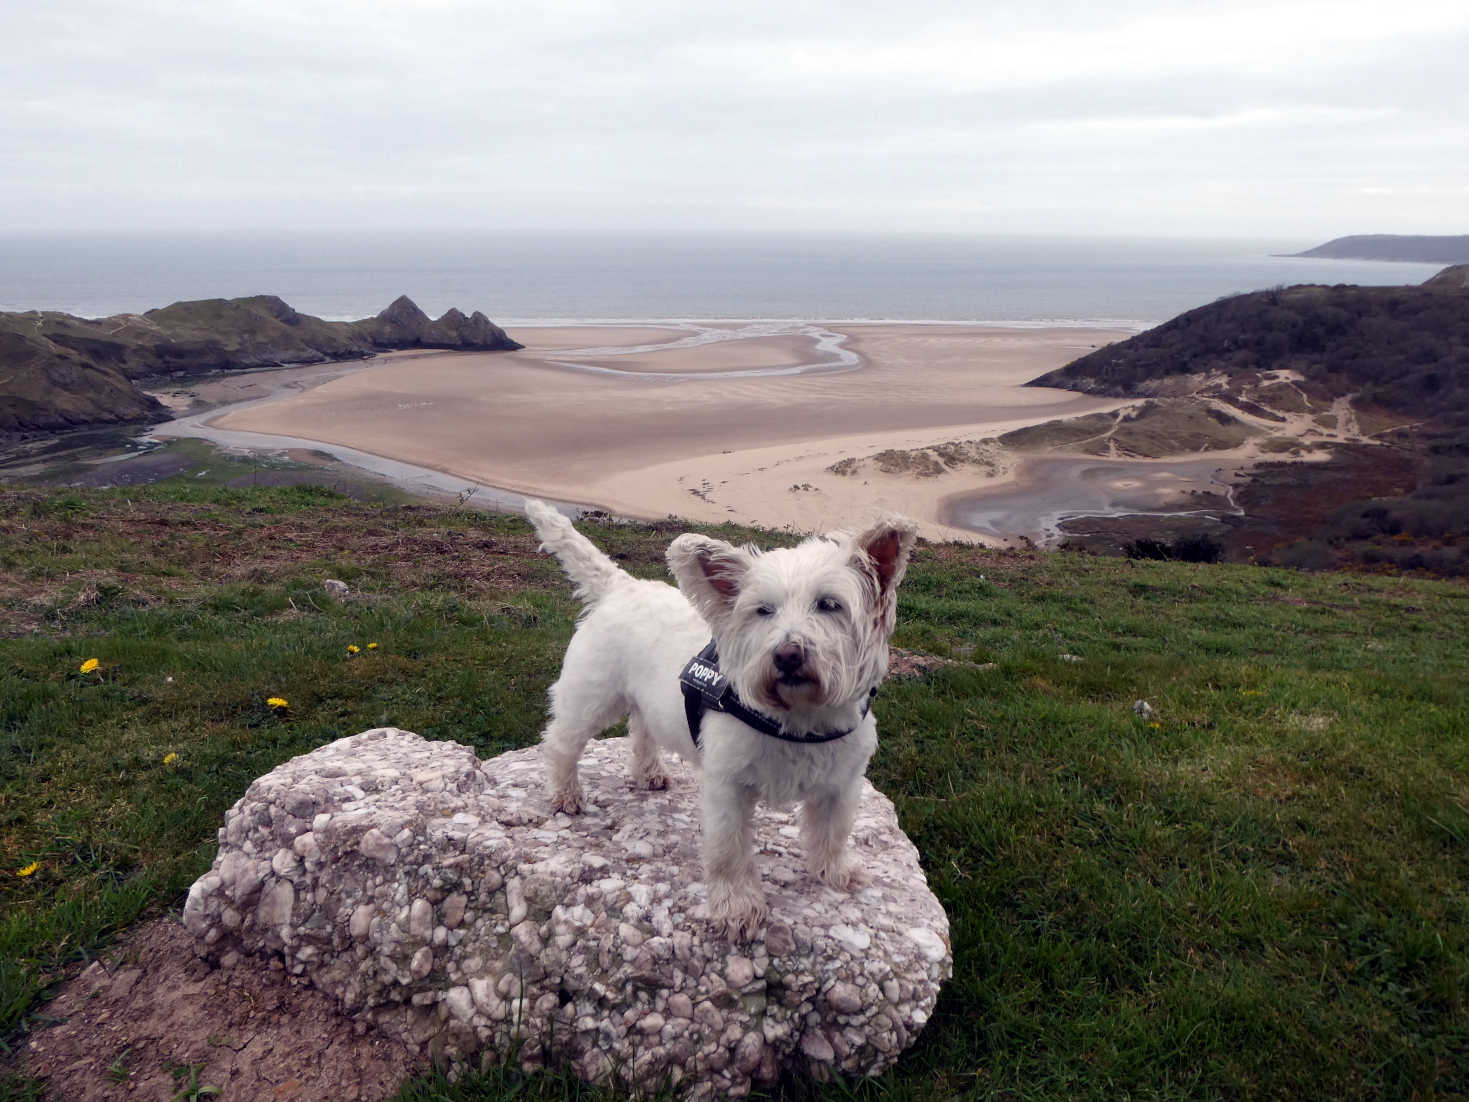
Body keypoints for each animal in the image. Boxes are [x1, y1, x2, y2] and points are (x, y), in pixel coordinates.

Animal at [528, 499, 910, 940]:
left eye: (830, 604)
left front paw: (836, 872)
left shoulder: (842, 782)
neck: (797, 718)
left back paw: (650, 773)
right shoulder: (728, 786)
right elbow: (729, 849)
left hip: (646, 699)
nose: (787, 655)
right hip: (592, 695)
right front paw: (737, 907)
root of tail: (622, 586)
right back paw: (565, 794)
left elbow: (833, 832)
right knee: (562, 741)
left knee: (641, 728)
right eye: (763, 610)